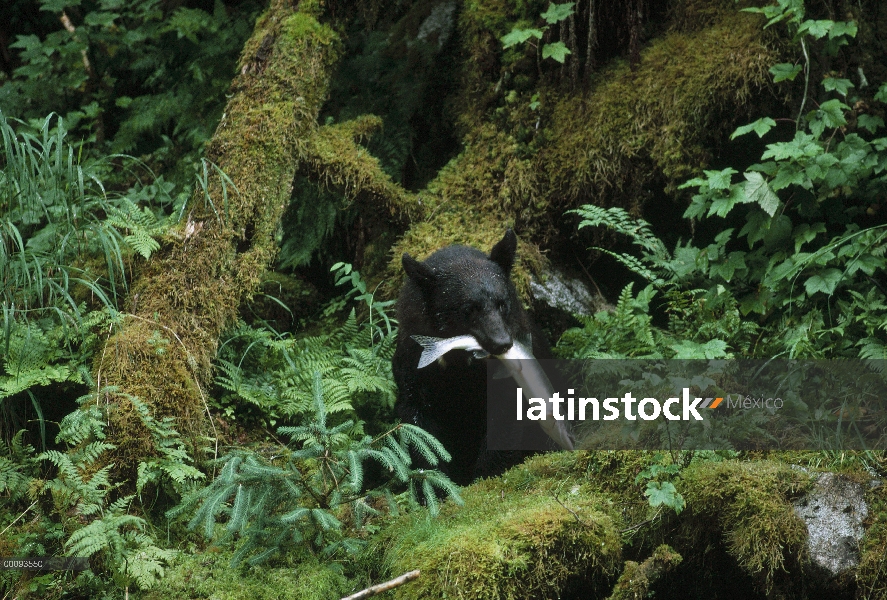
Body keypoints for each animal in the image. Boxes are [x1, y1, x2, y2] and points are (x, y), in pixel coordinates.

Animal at [394, 227, 552, 486]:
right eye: (468, 309)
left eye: (502, 304)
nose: (502, 343)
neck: (461, 366)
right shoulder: (413, 364)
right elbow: (418, 425)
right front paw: (434, 483)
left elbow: (504, 419)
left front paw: (484, 476)